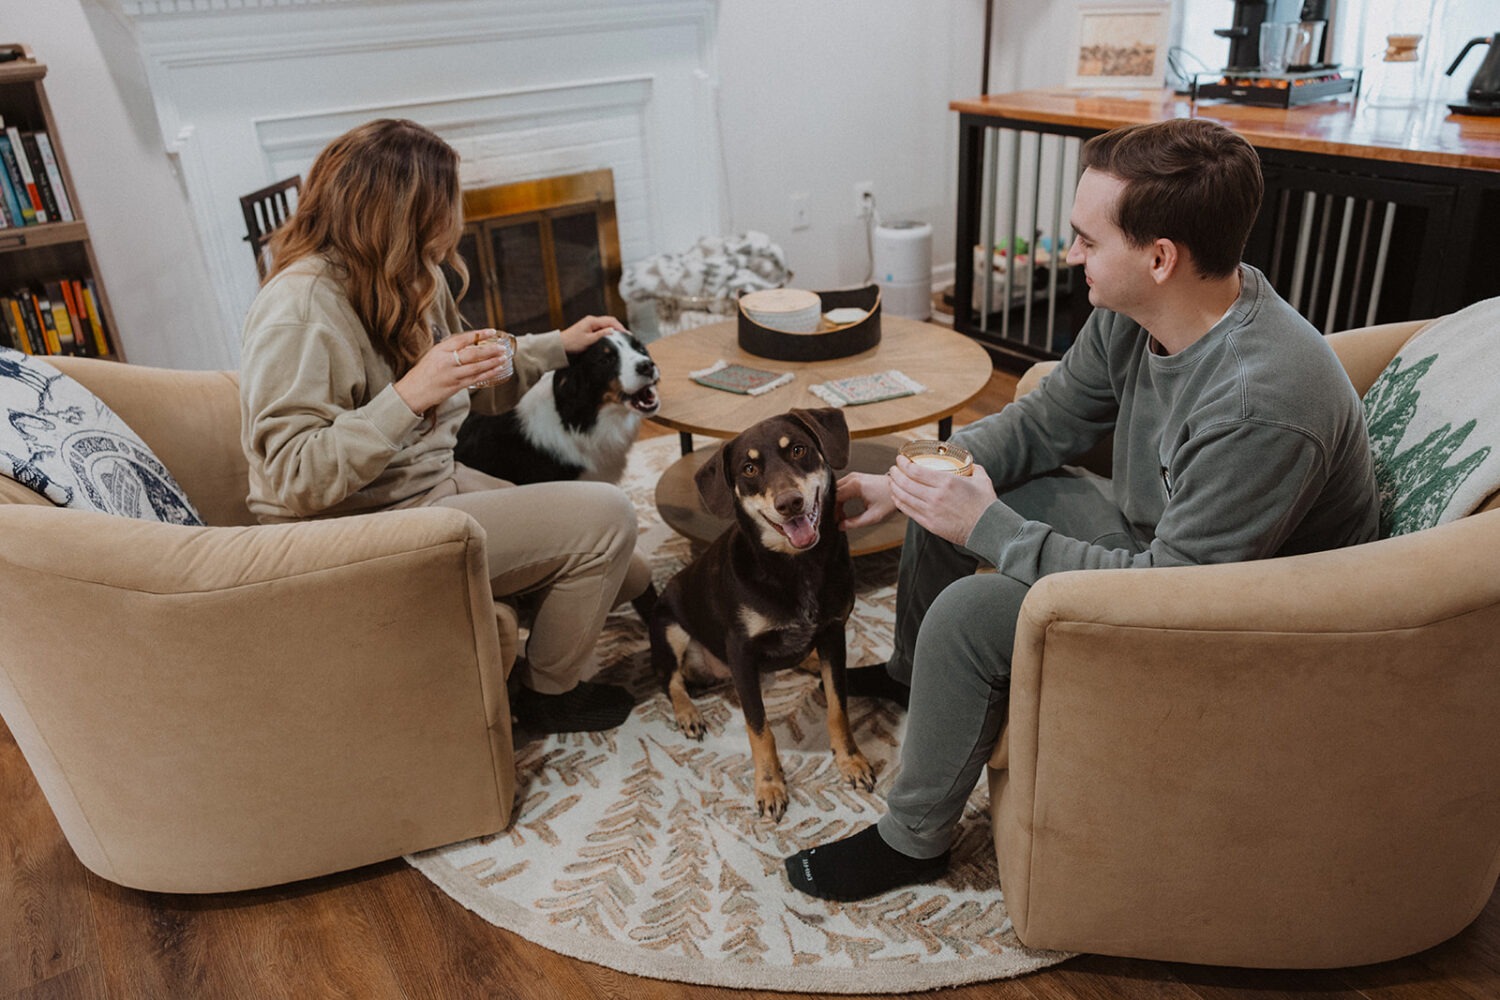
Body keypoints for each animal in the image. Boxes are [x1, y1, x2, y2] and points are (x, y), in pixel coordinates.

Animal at [648, 407, 876, 821]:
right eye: (749, 469)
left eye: (799, 449)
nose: (790, 503)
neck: (796, 565)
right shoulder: (741, 652)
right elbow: (760, 727)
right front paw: (770, 786)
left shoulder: (833, 632)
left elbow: (838, 707)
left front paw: (851, 761)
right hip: (669, 624)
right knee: (670, 680)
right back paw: (689, 714)